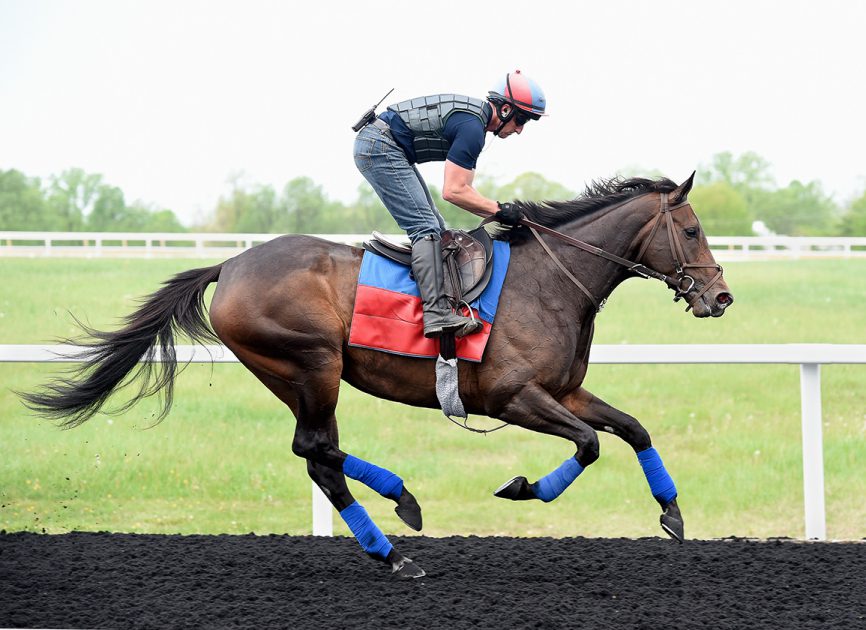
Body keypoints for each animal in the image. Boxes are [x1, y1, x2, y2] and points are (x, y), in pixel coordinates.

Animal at [22, 175, 728, 580]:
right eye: (693, 230)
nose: (720, 298)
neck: (548, 283)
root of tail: (230, 264)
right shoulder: (512, 397)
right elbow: (589, 444)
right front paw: (522, 486)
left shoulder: (561, 390)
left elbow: (631, 429)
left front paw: (671, 512)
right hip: (312, 363)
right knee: (314, 447)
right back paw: (400, 507)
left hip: (295, 375)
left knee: (319, 458)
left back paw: (391, 543)